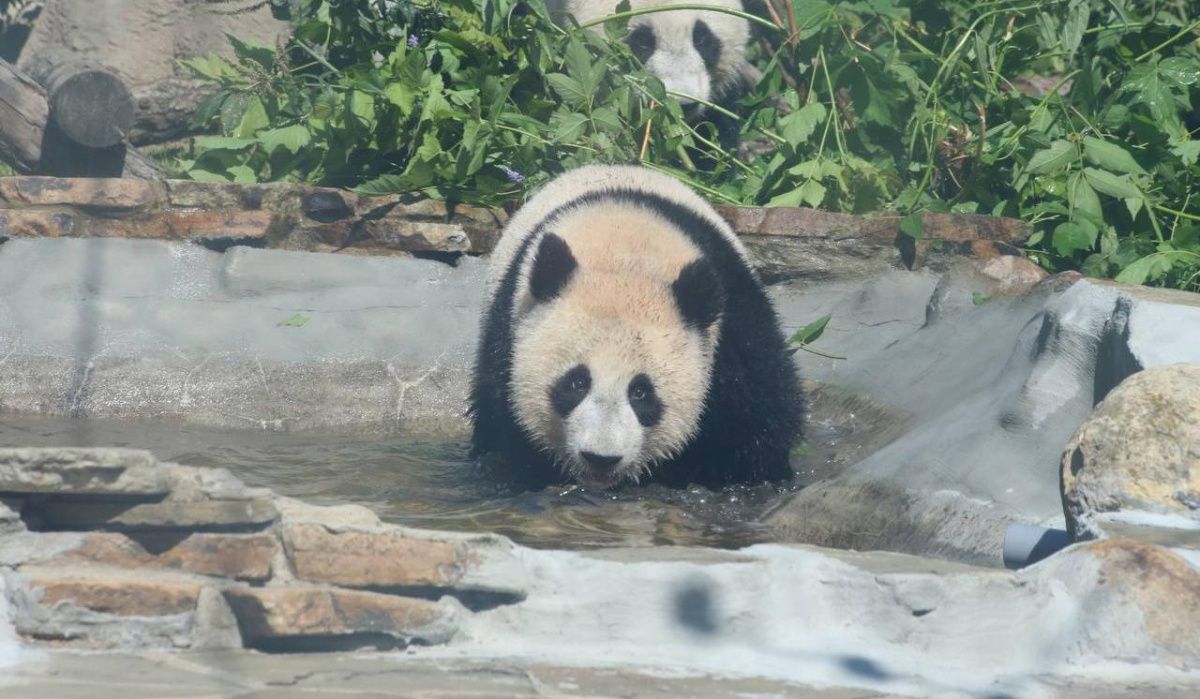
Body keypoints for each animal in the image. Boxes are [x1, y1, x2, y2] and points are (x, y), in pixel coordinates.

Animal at [470, 166, 806, 490]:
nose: (601, 458)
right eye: (576, 383)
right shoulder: (508, 335)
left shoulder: (734, 328)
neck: (626, 259)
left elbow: (758, 415)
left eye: (641, 392)